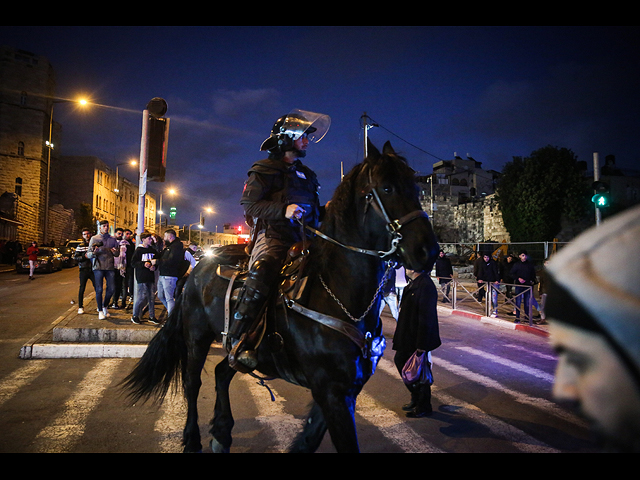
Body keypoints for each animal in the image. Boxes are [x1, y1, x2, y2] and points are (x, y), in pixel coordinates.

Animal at [120, 141, 440, 452]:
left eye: (415, 187)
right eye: (387, 188)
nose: (429, 251)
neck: (338, 297)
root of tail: (198, 267)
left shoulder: (344, 390)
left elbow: (308, 441)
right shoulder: (331, 391)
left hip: (237, 348)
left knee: (223, 371)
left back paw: (221, 432)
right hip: (197, 337)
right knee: (192, 382)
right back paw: (191, 438)